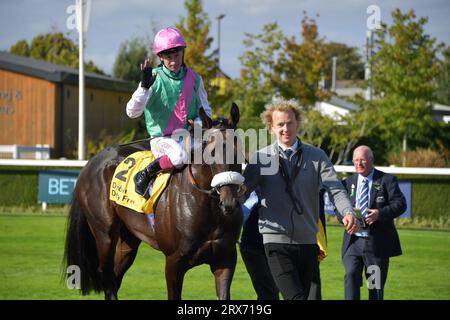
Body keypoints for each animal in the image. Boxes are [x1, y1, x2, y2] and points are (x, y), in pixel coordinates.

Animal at [64, 103, 243, 300]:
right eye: (211, 153)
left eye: (238, 151)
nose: (229, 202)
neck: (207, 207)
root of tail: (91, 162)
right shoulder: (174, 262)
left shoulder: (225, 259)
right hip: (104, 234)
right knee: (107, 277)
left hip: (129, 238)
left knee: (115, 277)